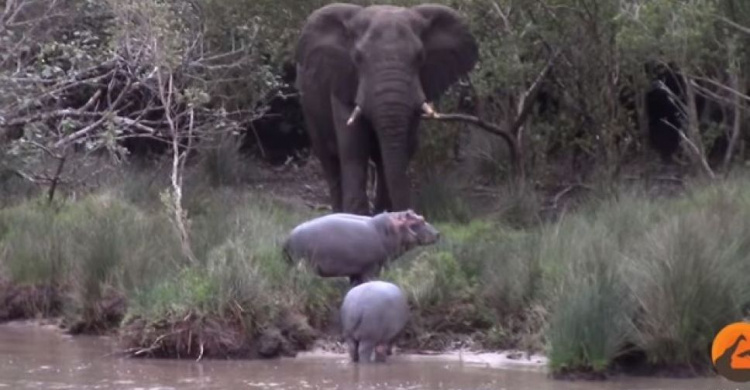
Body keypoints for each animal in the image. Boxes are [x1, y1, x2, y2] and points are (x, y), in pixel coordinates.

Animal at [284, 210, 444, 286]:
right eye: (418, 221)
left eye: (421, 217)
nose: (438, 233)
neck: (389, 230)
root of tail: (289, 237)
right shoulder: (371, 268)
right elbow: (370, 280)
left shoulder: (356, 270)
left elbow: (355, 284)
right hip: (305, 266)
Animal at [296, 3, 478, 215]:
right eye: (357, 58)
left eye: (420, 57)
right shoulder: (343, 79)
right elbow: (354, 147)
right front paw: (358, 216)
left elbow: (399, 149)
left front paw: (381, 214)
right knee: (329, 160)